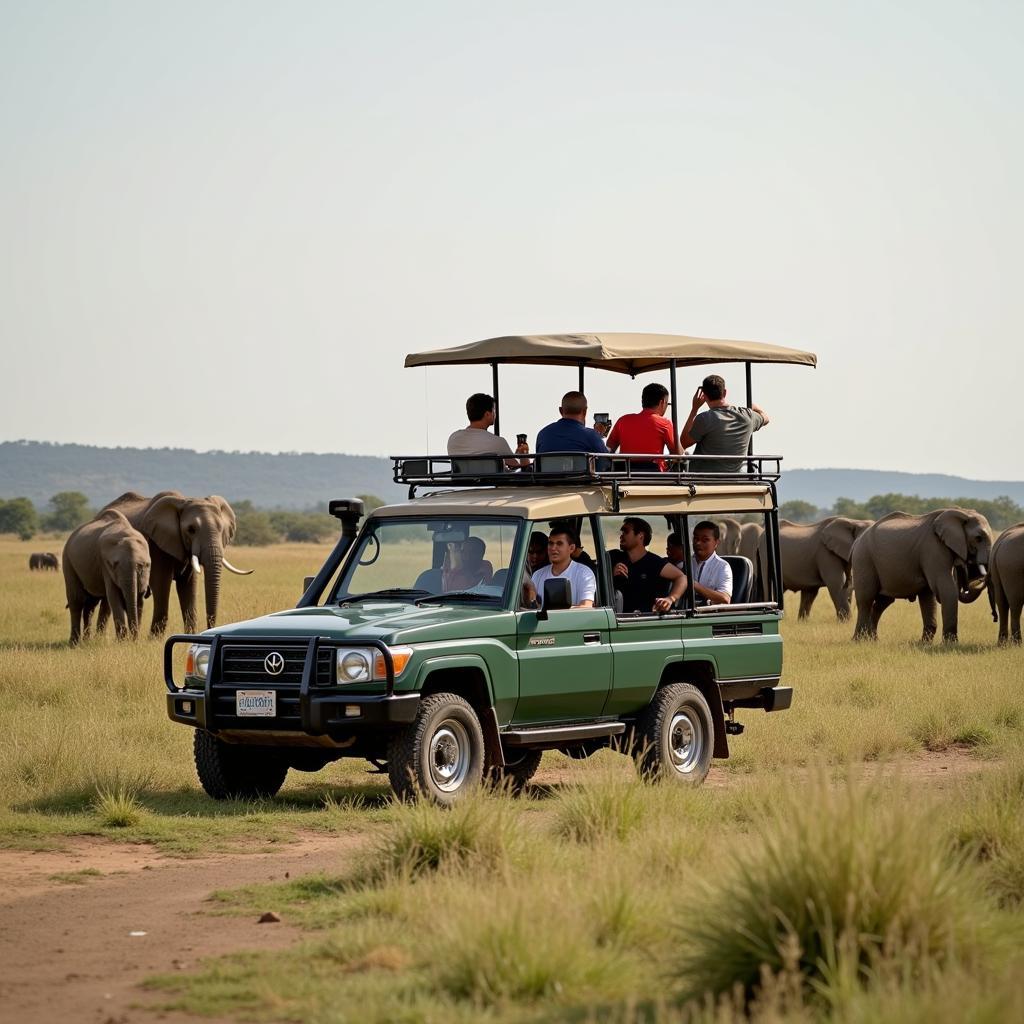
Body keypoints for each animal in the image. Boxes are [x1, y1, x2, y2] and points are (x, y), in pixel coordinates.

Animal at [62, 509, 151, 643]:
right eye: (113, 565)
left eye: (143, 566)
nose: (134, 639)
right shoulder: (105, 565)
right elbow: (114, 596)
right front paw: (123, 642)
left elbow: (137, 598)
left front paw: (132, 641)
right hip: (67, 560)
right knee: (76, 600)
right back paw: (75, 642)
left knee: (92, 604)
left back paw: (90, 640)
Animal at [102, 491, 251, 634]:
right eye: (191, 529)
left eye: (221, 529)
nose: (210, 628)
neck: (183, 501)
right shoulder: (157, 545)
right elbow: (161, 583)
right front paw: (154, 638)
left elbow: (188, 585)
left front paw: (189, 636)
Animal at [851, 509, 995, 643]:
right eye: (978, 538)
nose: (981, 579)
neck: (962, 512)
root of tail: (857, 541)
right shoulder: (933, 548)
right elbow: (945, 589)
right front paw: (950, 644)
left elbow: (928, 595)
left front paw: (924, 643)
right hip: (863, 559)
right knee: (866, 599)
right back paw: (858, 640)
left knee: (883, 602)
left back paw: (872, 640)